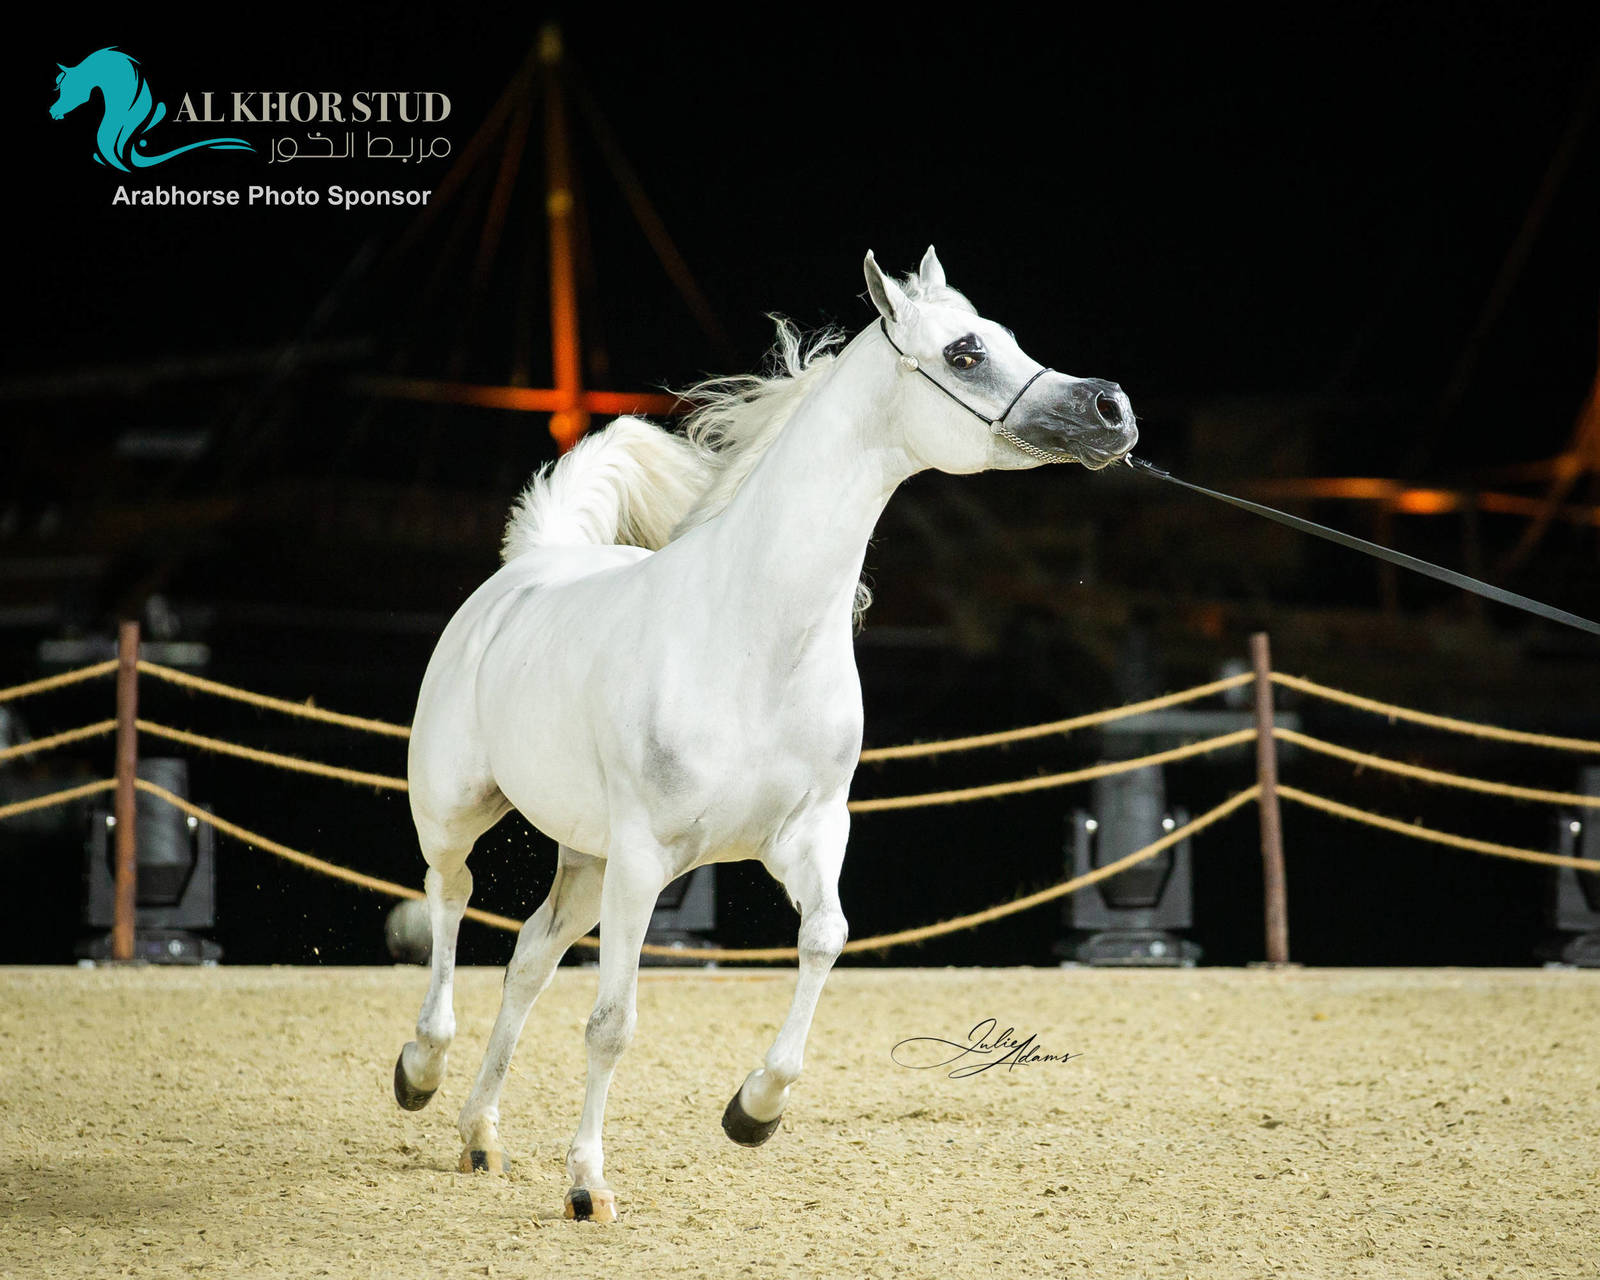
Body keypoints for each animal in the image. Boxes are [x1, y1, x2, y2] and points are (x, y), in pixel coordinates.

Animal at [393, 248, 1138, 1222]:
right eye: (967, 353)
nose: (1112, 409)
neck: (753, 637)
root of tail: (529, 568)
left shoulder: (808, 834)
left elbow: (825, 939)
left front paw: (754, 1110)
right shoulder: (647, 858)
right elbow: (613, 1023)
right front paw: (589, 1186)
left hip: (586, 859)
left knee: (526, 957)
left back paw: (481, 1135)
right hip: (460, 811)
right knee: (449, 902)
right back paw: (420, 1070)